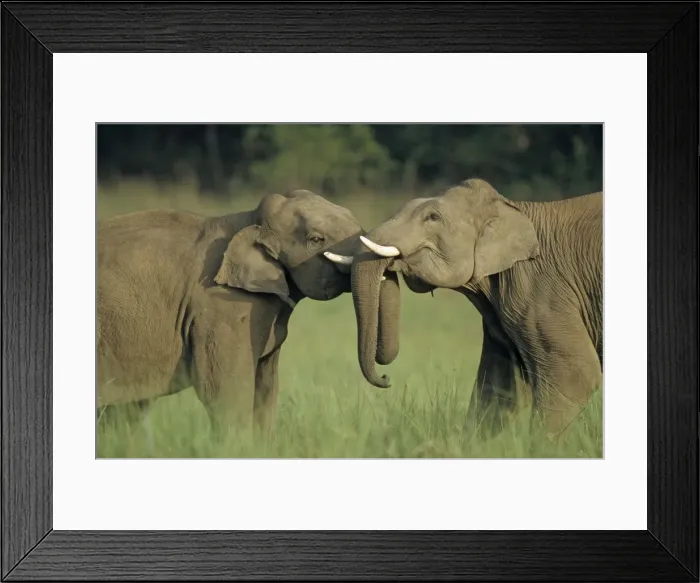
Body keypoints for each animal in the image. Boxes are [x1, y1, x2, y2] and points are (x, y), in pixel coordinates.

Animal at [326, 178, 603, 438]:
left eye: (433, 217)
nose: (386, 378)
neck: (513, 209)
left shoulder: (542, 289)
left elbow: (574, 373)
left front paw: (537, 448)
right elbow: (498, 385)